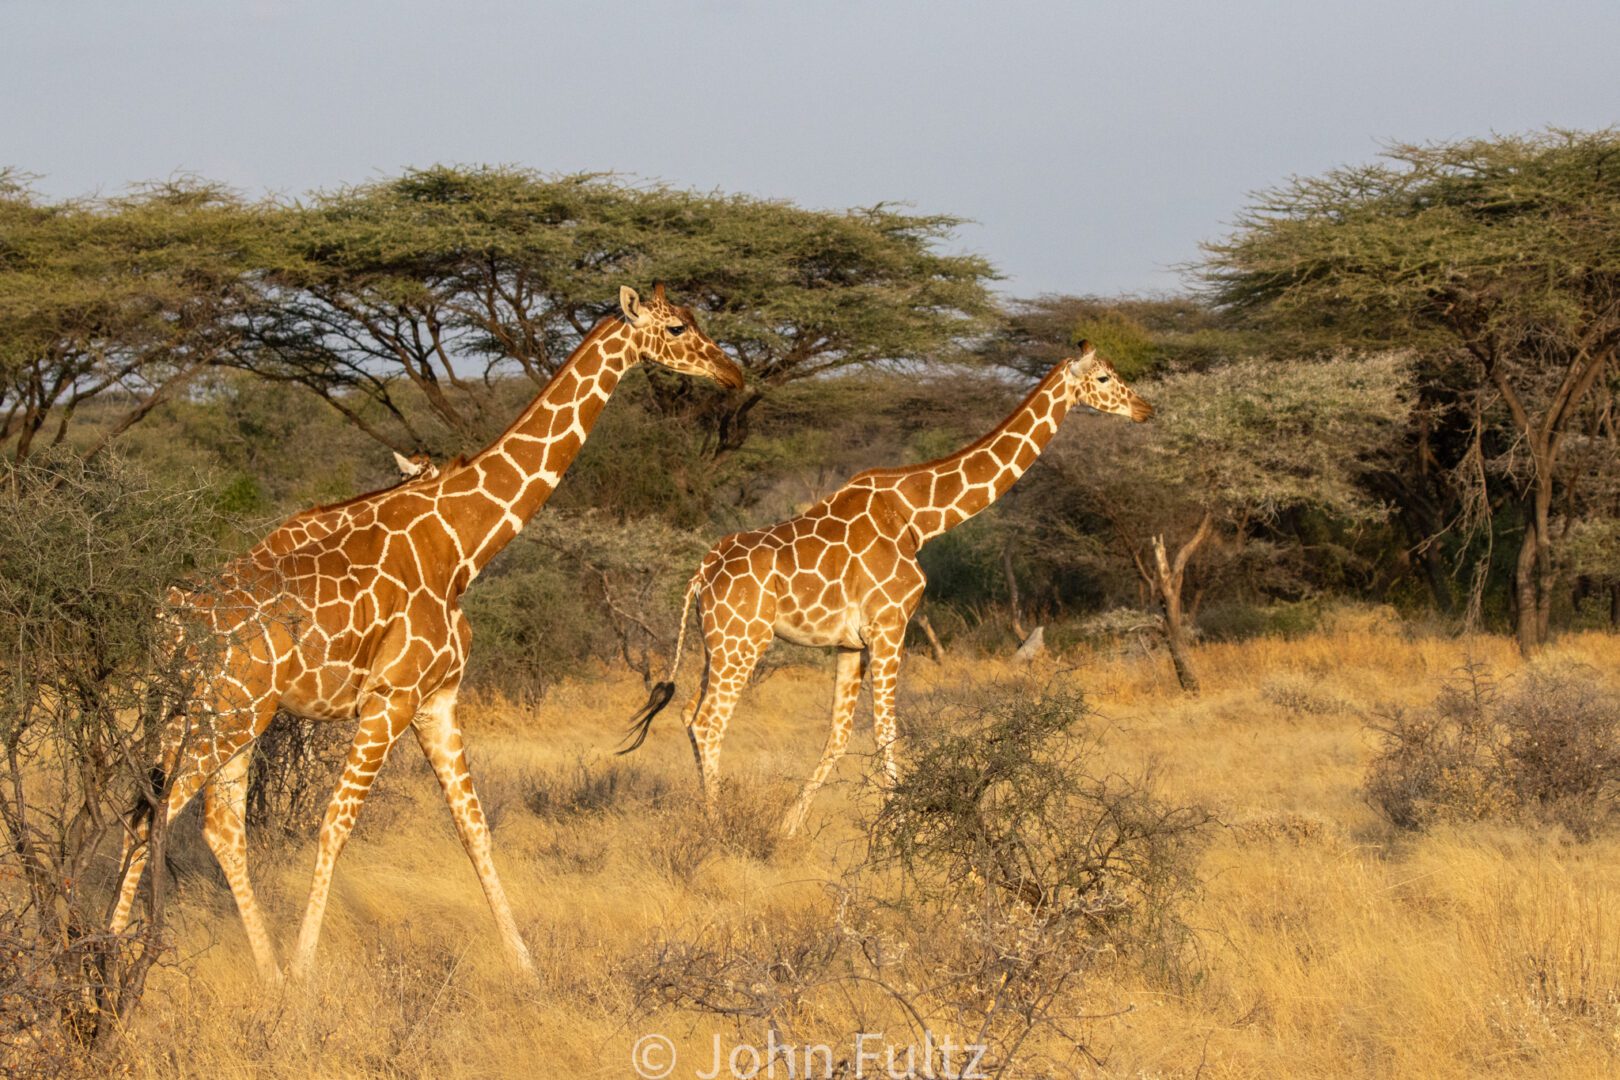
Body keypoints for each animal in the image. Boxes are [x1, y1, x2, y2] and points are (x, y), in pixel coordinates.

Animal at [110, 284, 741, 977]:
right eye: (678, 328)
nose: (733, 374)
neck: (462, 543)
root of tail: (172, 618)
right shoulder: (391, 699)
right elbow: (336, 823)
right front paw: (306, 973)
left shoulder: (436, 699)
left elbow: (474, 826)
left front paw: (526, 966)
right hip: (226, 714)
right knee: (156, 815)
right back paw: (113, 962)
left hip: (221, 717)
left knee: (205, 822)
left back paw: (252, 971)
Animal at [618, 341, 1153, 835]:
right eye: (1104, 378)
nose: (1145, 409)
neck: (918, 517)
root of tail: (702, 572)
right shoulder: (891, 625)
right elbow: (887, 731)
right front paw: (903, 829)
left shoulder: (850, 643)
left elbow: (838, 736)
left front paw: (790, 826)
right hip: (744, 641)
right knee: (708, 723)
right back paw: (718, 826)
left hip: (716, 644)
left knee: (688, 715)